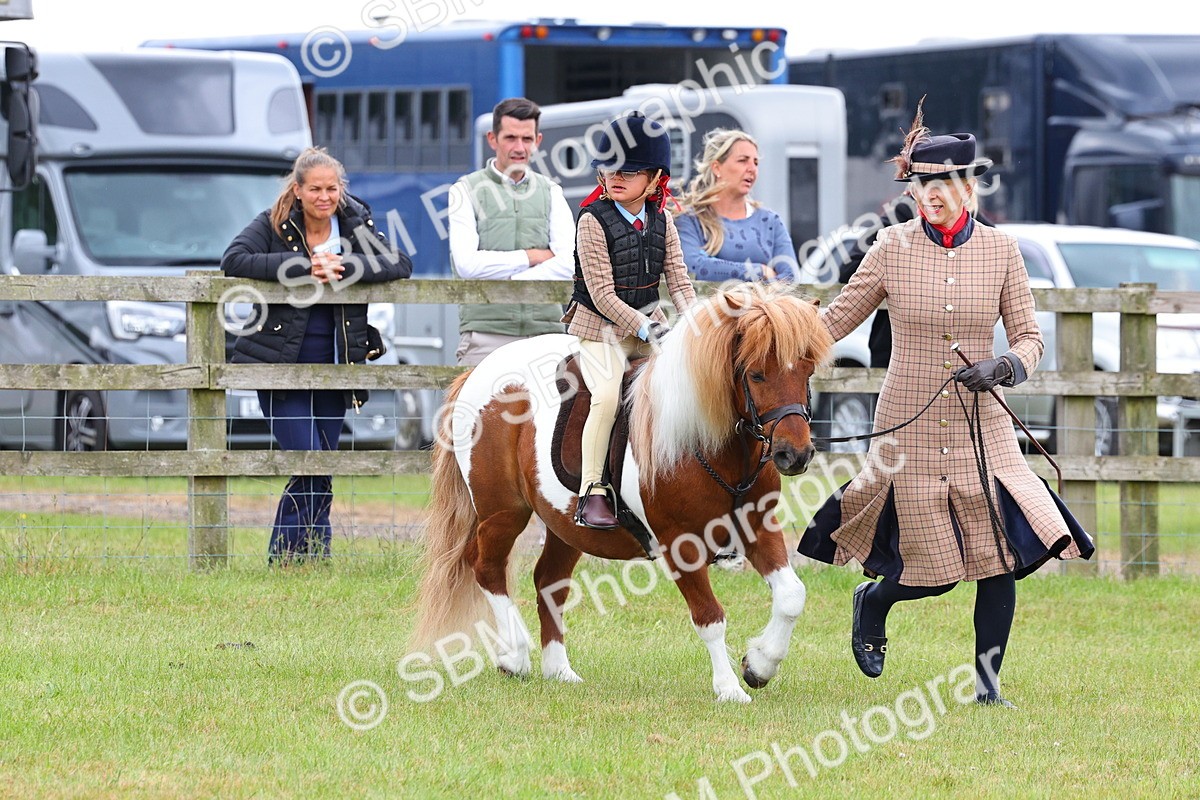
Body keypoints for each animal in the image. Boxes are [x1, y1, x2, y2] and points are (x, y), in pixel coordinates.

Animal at [412, 282, 834, 702]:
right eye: (757, 374)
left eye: (807, 369)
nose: (794, 455)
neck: (713, 442)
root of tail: (478, 371)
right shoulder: (679, 545)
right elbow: (710, 617)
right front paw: (729, 688)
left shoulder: (758, 527)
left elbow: (791, 596)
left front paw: (759, 665)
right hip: (503, 511)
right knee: (486, 567)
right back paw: (514, 656)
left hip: (565, 525)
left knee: (548, 581)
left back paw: (559, 669)